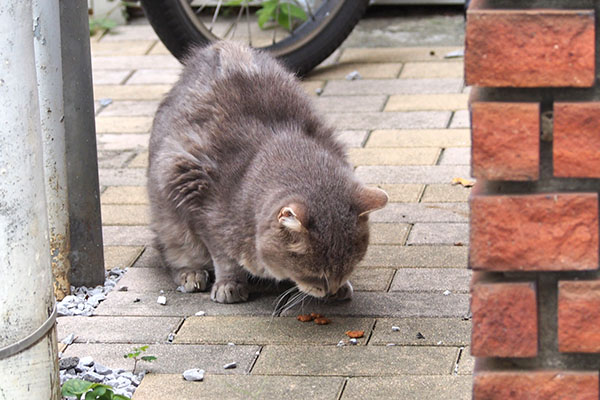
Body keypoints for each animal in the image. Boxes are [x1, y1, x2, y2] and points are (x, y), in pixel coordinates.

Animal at [148, 42, 386, 304]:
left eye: (349, 267)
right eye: (316, 275)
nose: (331, 290)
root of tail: (218, 46)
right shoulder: (200, 202)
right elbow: (223, 256)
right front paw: (229, 284)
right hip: (169, 220)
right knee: (171, 251)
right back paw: (191, 273)